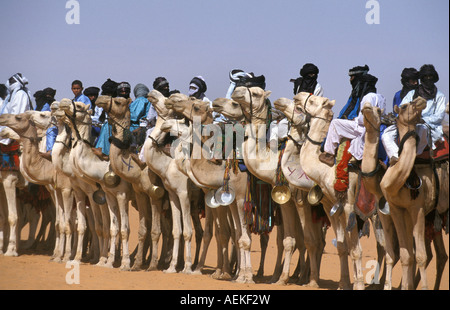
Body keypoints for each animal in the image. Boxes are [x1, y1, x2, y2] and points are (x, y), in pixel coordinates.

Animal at [57, 98, 134, 268]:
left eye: (79, 105)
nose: (61, 103)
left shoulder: (120, 194)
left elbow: (117, 228)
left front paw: (121, 262)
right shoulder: (92, 194)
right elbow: (101, 227)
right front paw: (97, 259)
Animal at [94, 95, 173, 272]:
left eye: (118, 101)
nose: (100, 98)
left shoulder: (134, 194)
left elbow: (129, 229)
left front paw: (126, 264)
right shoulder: (117, 194)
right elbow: (115, 228)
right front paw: (110, 262)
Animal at [380, 95, 450, 290]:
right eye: (404, 106)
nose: (419, 99)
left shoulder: (417, 209)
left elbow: (420, 256)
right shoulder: (397, 209)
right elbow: (406, 255)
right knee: (441, 255)